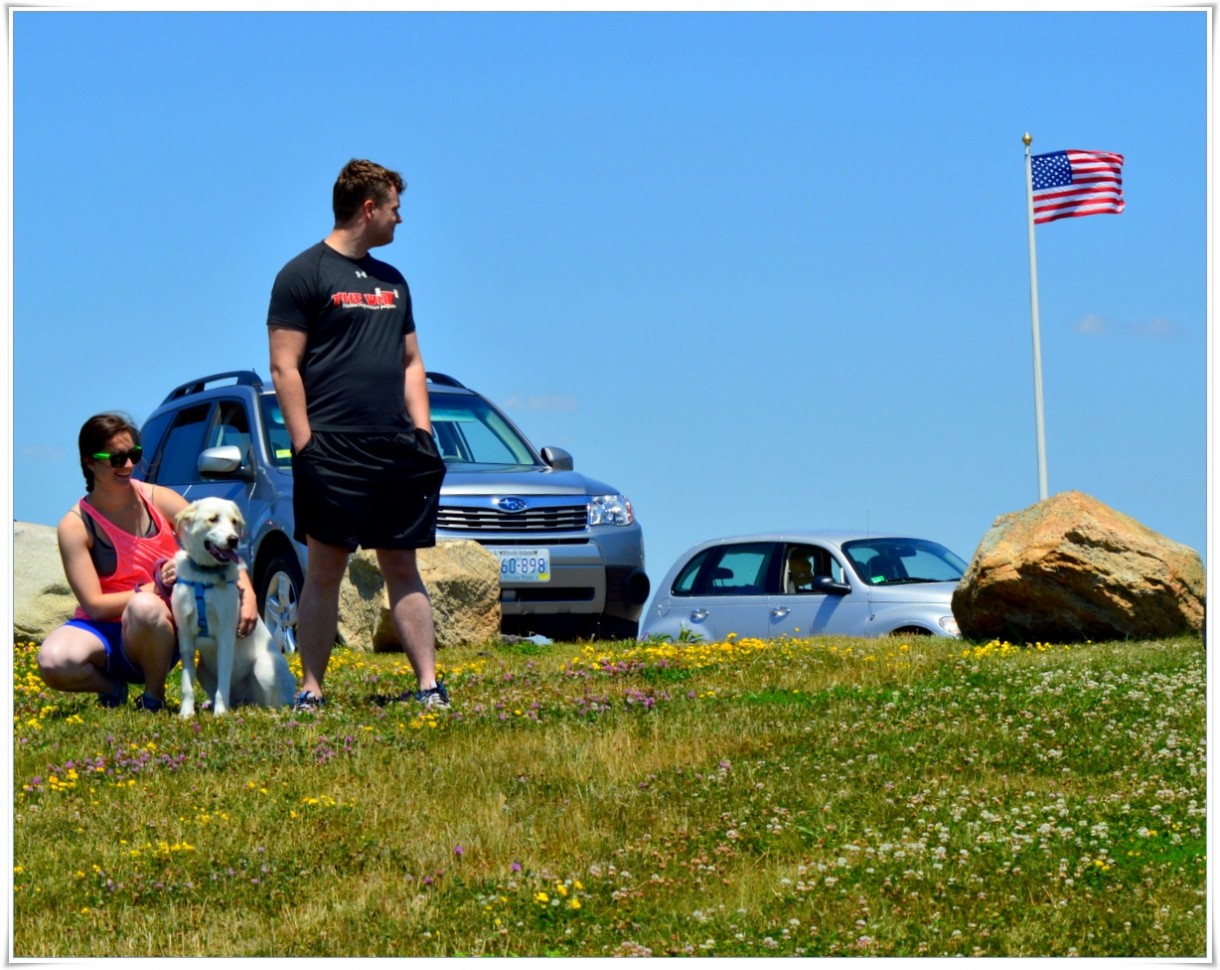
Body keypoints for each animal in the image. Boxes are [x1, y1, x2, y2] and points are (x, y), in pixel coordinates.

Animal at [170, 497, 294, 717]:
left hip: (264, 668)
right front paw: (186, 713)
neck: (205, 576)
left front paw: (220, 714)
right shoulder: (184, 635)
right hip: (203, 670)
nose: (234, 540)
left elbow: (223, 684)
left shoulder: (226, 636)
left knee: (275, 703)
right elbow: (186, 683)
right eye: (213, 519)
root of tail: (244, 699)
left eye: (234, 521)